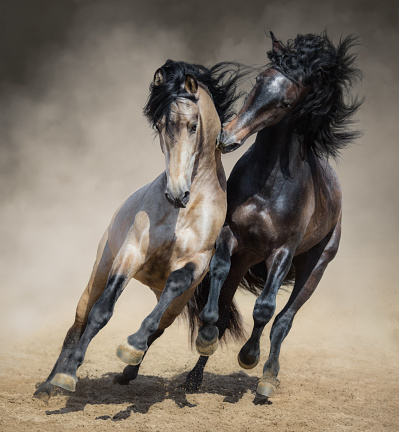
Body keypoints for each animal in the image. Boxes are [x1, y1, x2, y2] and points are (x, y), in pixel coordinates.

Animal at [34, 60, 247, 402]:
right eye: (160, 126)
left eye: (193, 126)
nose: (176, 193)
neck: (183, 211)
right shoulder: (131, 253)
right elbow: (101, 313)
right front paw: (67, 375)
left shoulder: (197, 260)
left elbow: (172, 288)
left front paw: (131, 347)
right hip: (99, 272)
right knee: (80, 319)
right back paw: (49, 384)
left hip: (175, 303)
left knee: (159, 324)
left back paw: (129, 370)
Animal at [186, 31, 364, 402]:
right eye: (259, 80)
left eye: (285, 103)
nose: (228, 136)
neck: (269, 183)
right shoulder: (232, 238)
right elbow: (218, 286)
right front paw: (205, 339)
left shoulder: (283, 251)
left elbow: (265, 310)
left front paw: (248, 357)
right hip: (248, 258)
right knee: (229, 307)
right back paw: (195, 376)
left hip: (315, 265)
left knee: (283, 321)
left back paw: (267, 379)